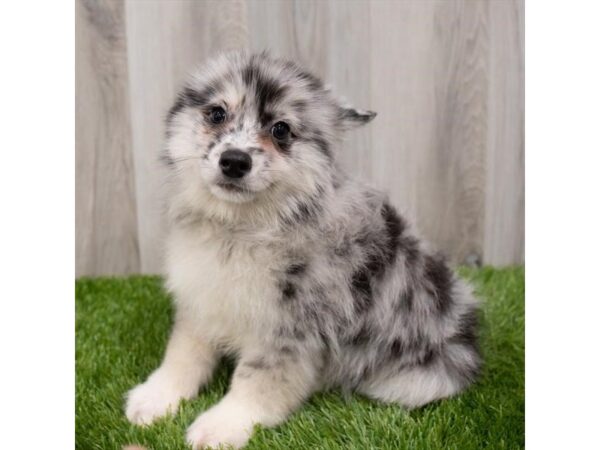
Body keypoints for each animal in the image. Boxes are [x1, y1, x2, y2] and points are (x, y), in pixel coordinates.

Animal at [124, 51, 480, 448]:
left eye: (281, 130)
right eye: (217, 113)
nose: (234, 161)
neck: (243, 230)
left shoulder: (289, 330)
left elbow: (256, 381)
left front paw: (222, 426)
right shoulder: (202, 301)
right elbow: (184, 354)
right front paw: (157, 397)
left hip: (421, 378)